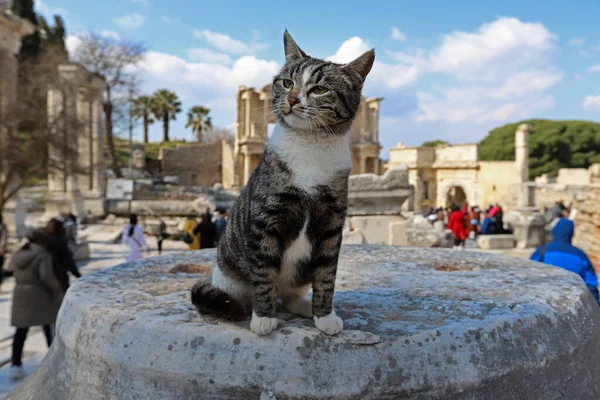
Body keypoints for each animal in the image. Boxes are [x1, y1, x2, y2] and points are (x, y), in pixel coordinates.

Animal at [192, 32, 372, 334]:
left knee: (289, 296)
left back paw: (304, 307)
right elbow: (264, 274)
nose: (292, 98)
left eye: (319, 90)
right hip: (229, 273)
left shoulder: (331, 225)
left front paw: (324, 316)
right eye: (287, 83)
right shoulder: (265, 220)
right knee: (243, 292)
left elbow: (326, 277)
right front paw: (264, 318)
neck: (310, 146)